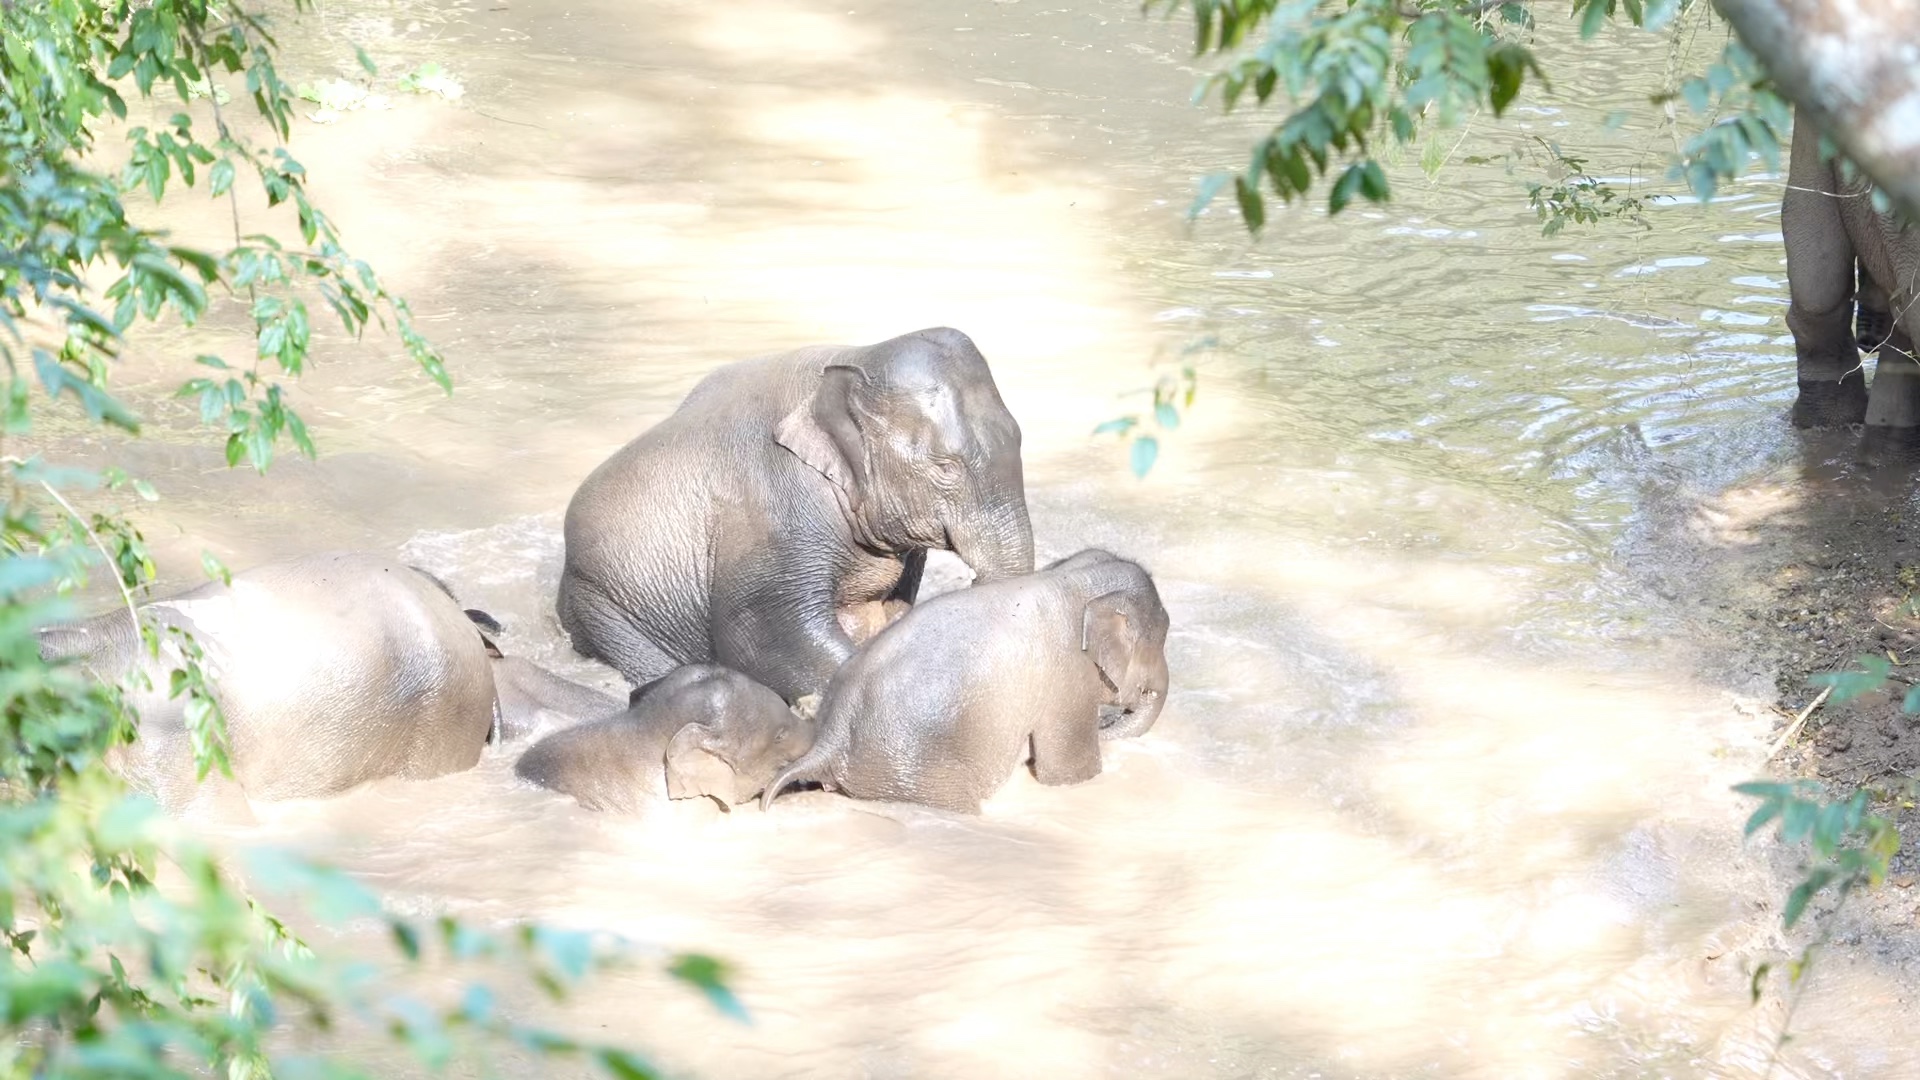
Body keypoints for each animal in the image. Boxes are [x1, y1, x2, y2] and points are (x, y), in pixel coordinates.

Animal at [556, 322, 1036, 703]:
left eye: (1019, 438)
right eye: (945, 467)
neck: (856, 356)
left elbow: (888, 613)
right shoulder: (773, 506)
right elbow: (765, 634)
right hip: (602, 606)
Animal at [764, 549, 1167, 810]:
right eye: (1161, 637)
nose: (1109, 722)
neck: (1073, 579)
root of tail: (827, 741)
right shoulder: (1069, 682)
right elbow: (1067, 773)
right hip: (920, 776)